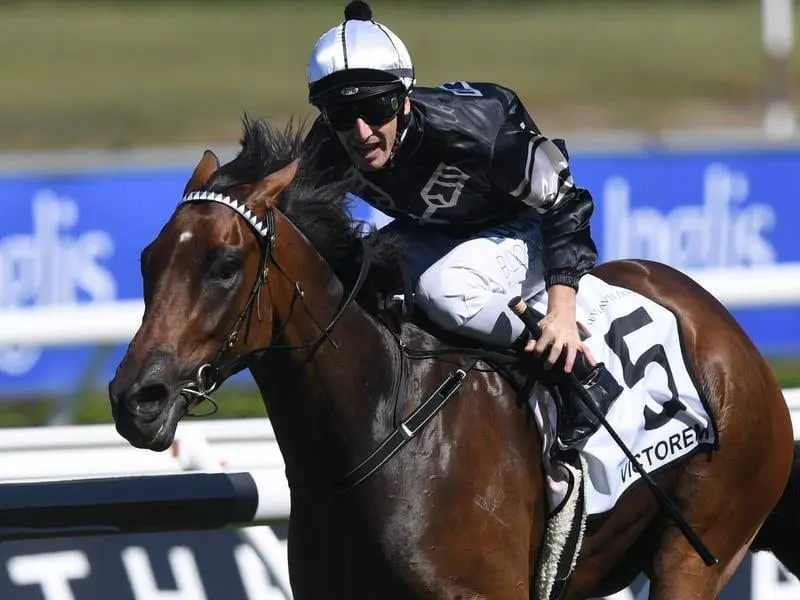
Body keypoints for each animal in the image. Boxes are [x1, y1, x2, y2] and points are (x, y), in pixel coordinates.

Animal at [109, 118, 800, 600]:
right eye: (147, 260)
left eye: (226, 266)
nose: (136, 398)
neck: (380, 430)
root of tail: (727, 330)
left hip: (701, 546)